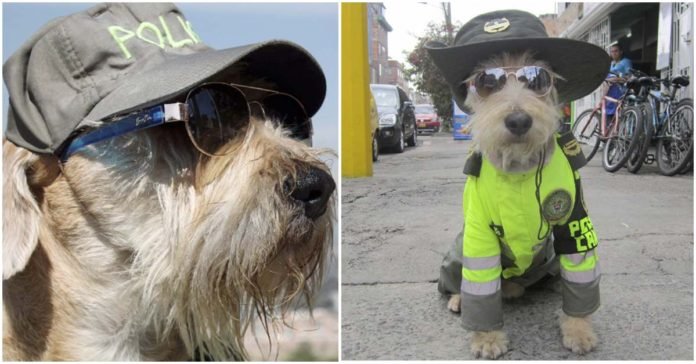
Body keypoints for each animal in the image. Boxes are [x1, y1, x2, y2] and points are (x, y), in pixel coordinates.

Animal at [426, 9, 612, 360]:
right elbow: (480, 286)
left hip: (549, 257)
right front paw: (486, 338)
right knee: (460, 283)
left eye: (537, 78)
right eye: (486, 80)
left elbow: (579, 271)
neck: (519, 170)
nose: (519, 121)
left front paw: (578, 329)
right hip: (458, 249)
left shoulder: (574, 223)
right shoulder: (478, 234)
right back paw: (460, 298)